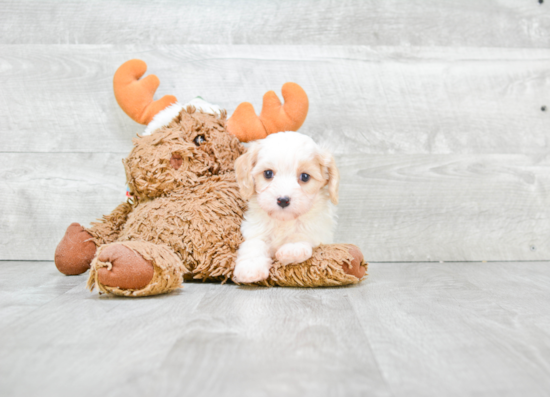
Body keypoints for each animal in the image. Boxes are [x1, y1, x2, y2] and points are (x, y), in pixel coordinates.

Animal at [231, 131, 338, 284]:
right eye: (268, 173)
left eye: (305, 177)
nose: (283, 200)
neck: (283, 221)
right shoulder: (255, 229)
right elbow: (254, 244)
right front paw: (250, 268)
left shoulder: (318, 231)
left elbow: (302, 233)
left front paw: (292, 249)